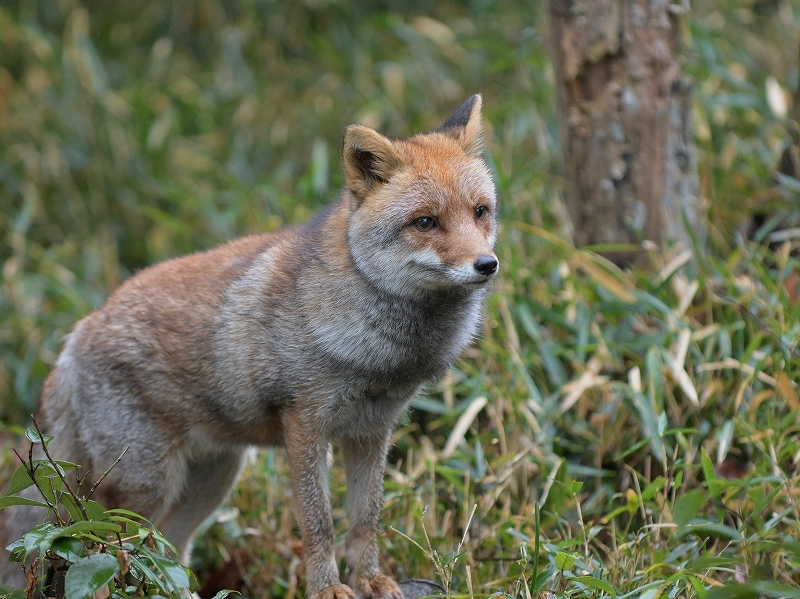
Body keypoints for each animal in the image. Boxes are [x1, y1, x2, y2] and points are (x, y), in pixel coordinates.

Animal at [0, 95, 496, 599]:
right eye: (425, 222)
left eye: (480, 212)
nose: (488, 264)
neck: (383, 353)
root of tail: (79, 329)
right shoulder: (306, 426)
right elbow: (319, 525)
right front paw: (327, 589)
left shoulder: (372, 431)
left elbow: (365, 521)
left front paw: (372, 580)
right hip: (142, 488)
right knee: (102, 551)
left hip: (211, 479)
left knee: (168, 555)